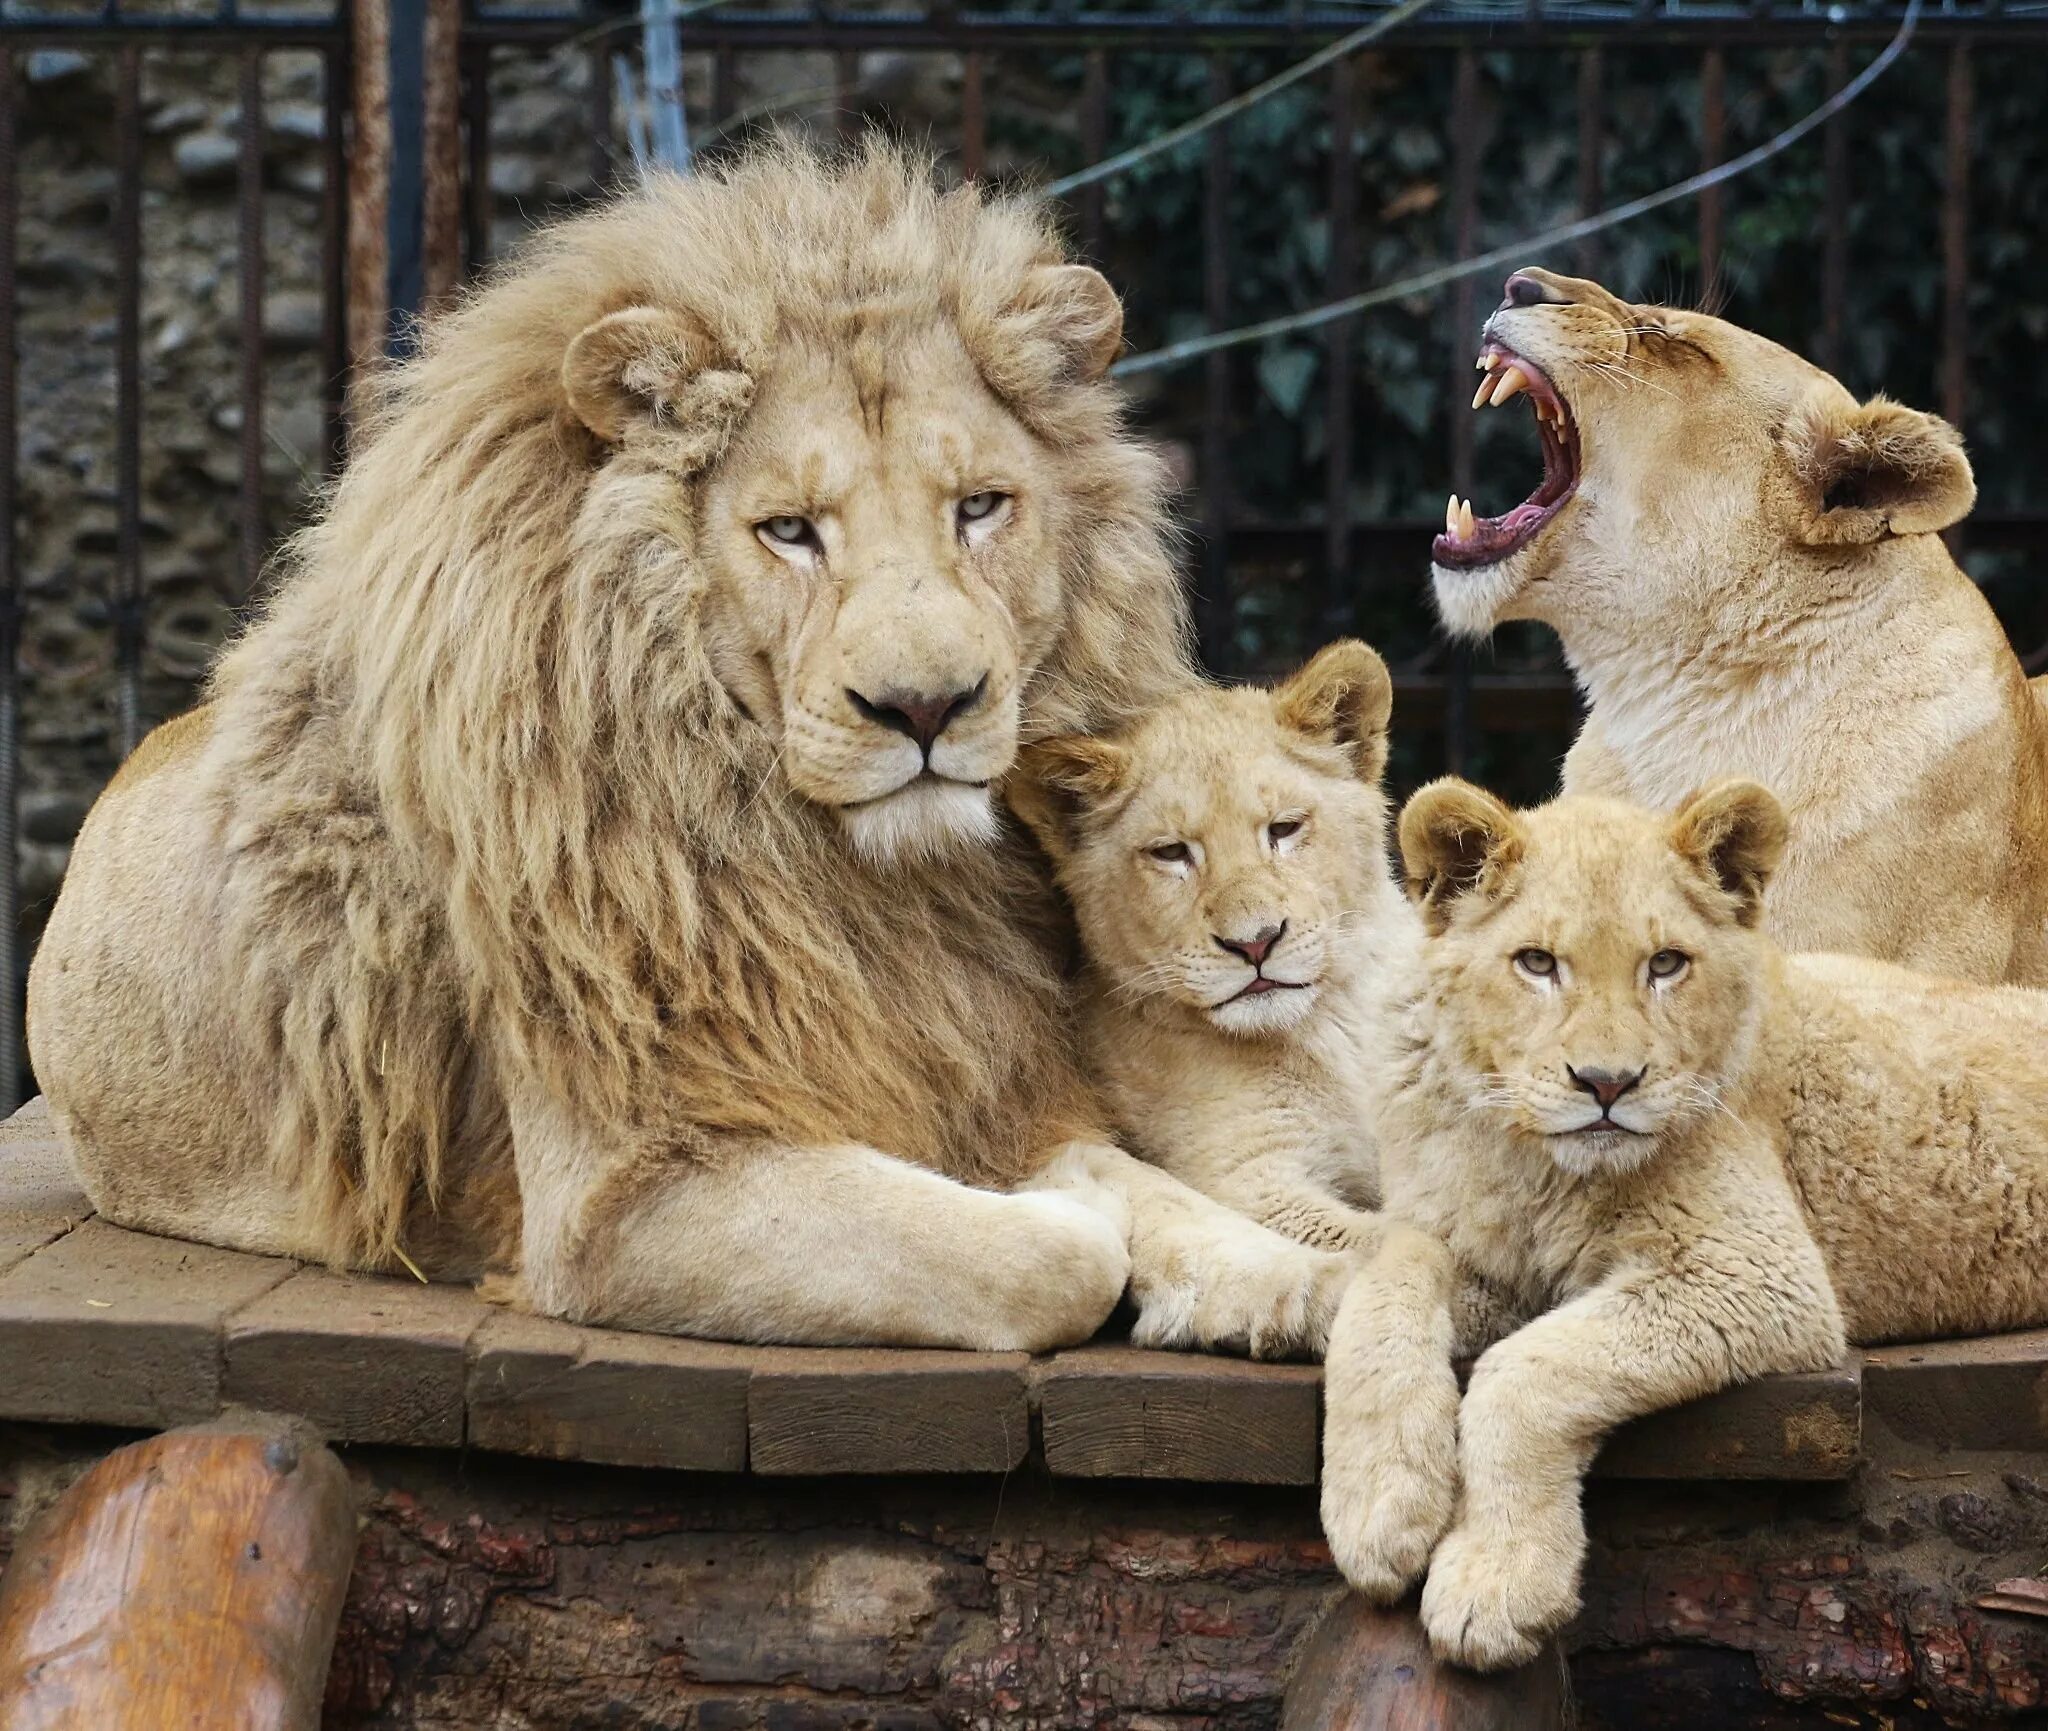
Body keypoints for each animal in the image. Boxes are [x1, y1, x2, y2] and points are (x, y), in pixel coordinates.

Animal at [32, 141, 1351, 1360]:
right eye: (788, 531)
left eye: (979, 507)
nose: (926, 708)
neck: (847, 873)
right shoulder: (621, 1195)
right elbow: (1055, 1253)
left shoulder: (967, 1061)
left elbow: (1154, 1194)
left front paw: (1299, 1282)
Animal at [1318, 778, 2048, 1663]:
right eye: (1537, 962)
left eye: (1665, 963)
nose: (1606, 1082)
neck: (1529, 1162)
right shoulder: (1476, 1247)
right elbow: (1383, 1281)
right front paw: (1378, 1505)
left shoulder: (1761, 1275)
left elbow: (1521, 1374)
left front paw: (1495, 1584)